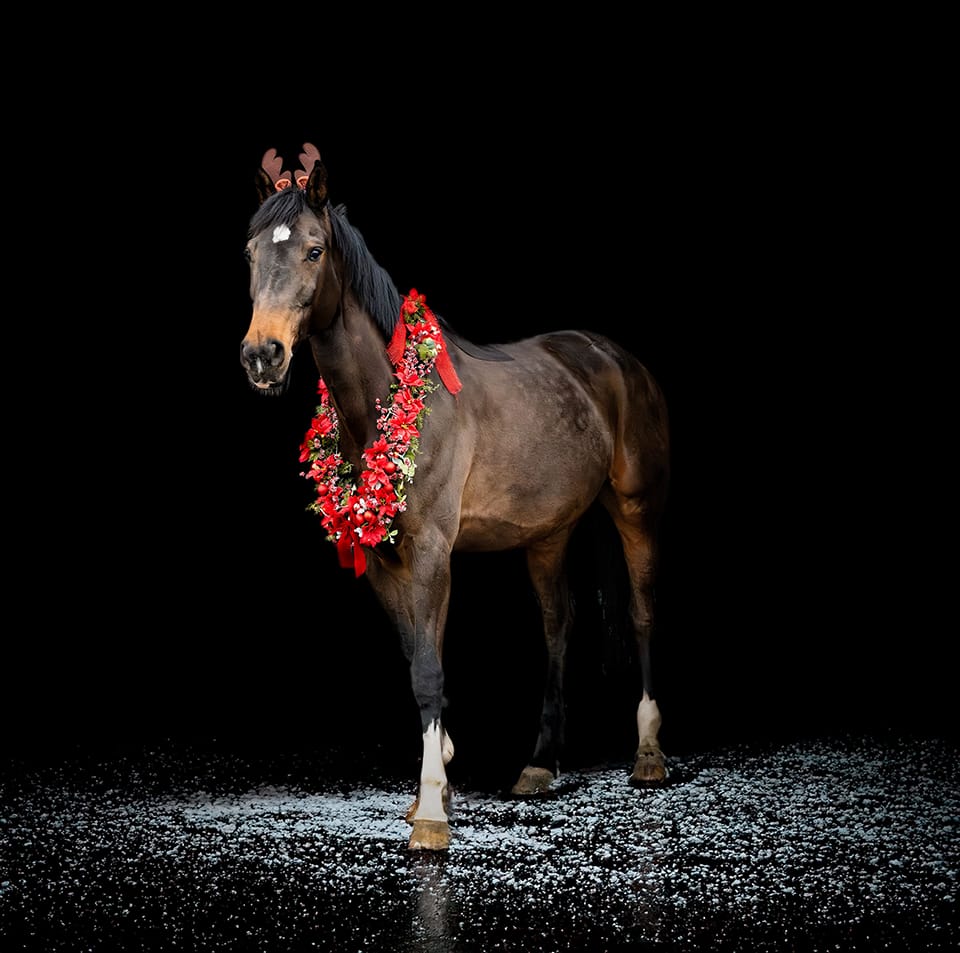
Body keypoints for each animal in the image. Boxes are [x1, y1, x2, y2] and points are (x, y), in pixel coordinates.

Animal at [239, 143, 671, 851]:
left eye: (313, 250)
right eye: (250, 253)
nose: (262, 355)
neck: (390, 399)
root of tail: (612, 357)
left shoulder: (433, 553)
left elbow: (429, 671)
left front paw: (433, 812)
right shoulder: (383, 560)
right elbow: (419, 656)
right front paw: (432, 785)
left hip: (636, 509)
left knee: (640, 613)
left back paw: (649, 754)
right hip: (546, 535)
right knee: (558, 625)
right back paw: (539, 763)